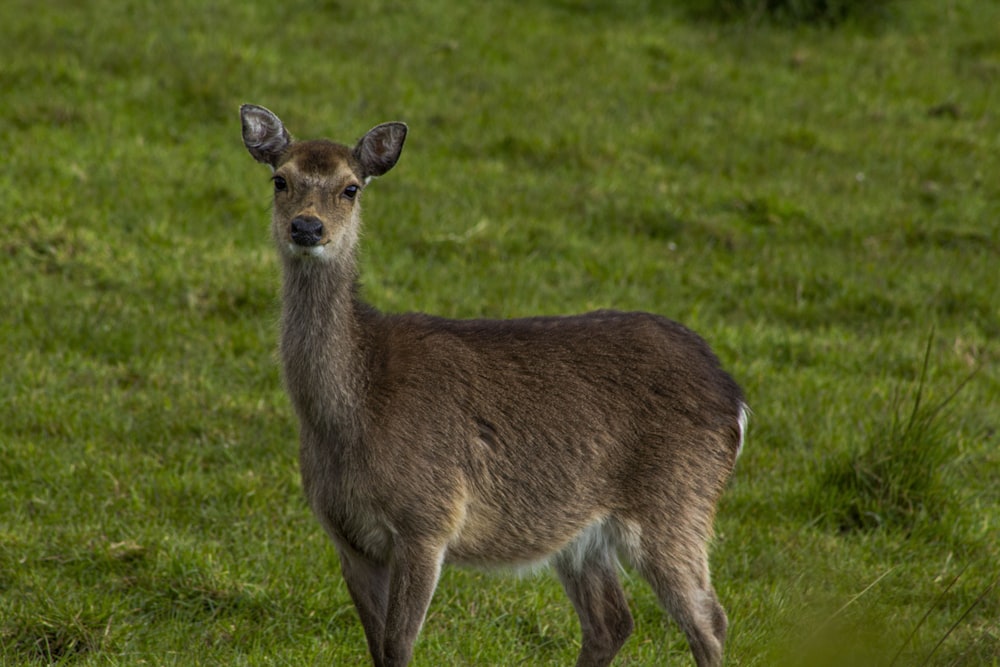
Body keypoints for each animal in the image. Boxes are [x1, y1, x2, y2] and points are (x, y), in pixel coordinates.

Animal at [238, 104, 748, 667]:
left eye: (350, 187)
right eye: (280, 179)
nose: (307, 227)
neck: (353, 415)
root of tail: (737, 400)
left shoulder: (428, 519)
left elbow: (399, 646)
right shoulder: (346, 537)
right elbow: (378, 649)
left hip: (677, 503)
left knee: (709, 619)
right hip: (583, 534)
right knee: (612, 620)